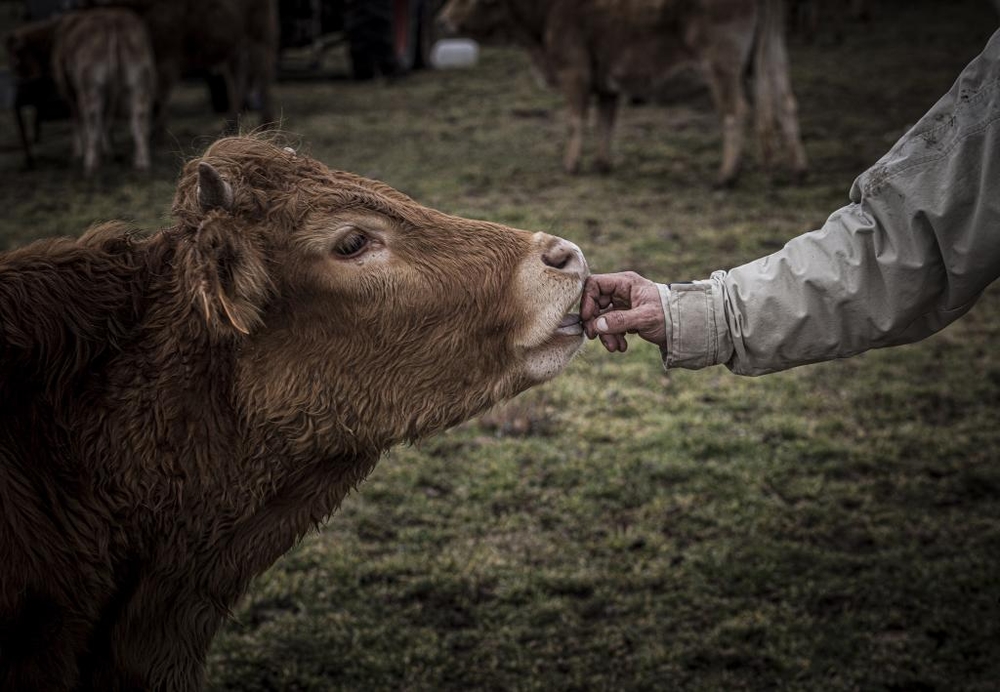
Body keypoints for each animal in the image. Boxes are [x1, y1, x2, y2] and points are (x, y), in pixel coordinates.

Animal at [442, 0, 808, 187]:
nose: (442, 18)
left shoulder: (575, 71)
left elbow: (576, 119)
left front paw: (571, 164)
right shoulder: (606, 82)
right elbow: (605, 121)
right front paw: (602, 163)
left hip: (722, 65)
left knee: (736, 112)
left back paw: (726, 174)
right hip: (767, 58)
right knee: (784, 104)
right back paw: (793, 168)